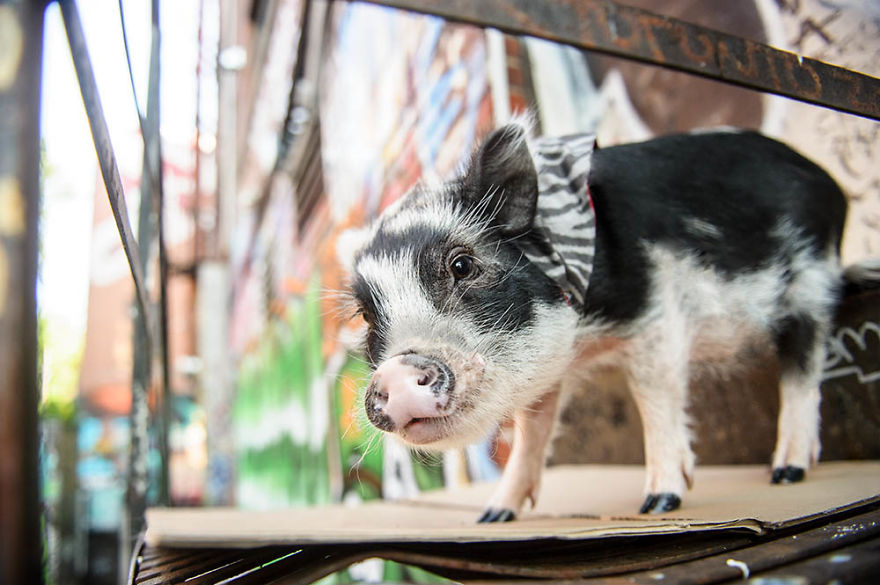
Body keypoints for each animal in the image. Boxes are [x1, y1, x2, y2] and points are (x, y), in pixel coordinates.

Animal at [342, 121, 847, 521]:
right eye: (367, 314)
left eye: (463, 265)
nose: (395, 372)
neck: (587, 337)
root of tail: (827, 181)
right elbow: (533, 429)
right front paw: (494, 516)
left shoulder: (656, 312)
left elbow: (653, 394)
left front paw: (659, 504)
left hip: (811, 281)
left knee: (805, 363)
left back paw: (787, 473)